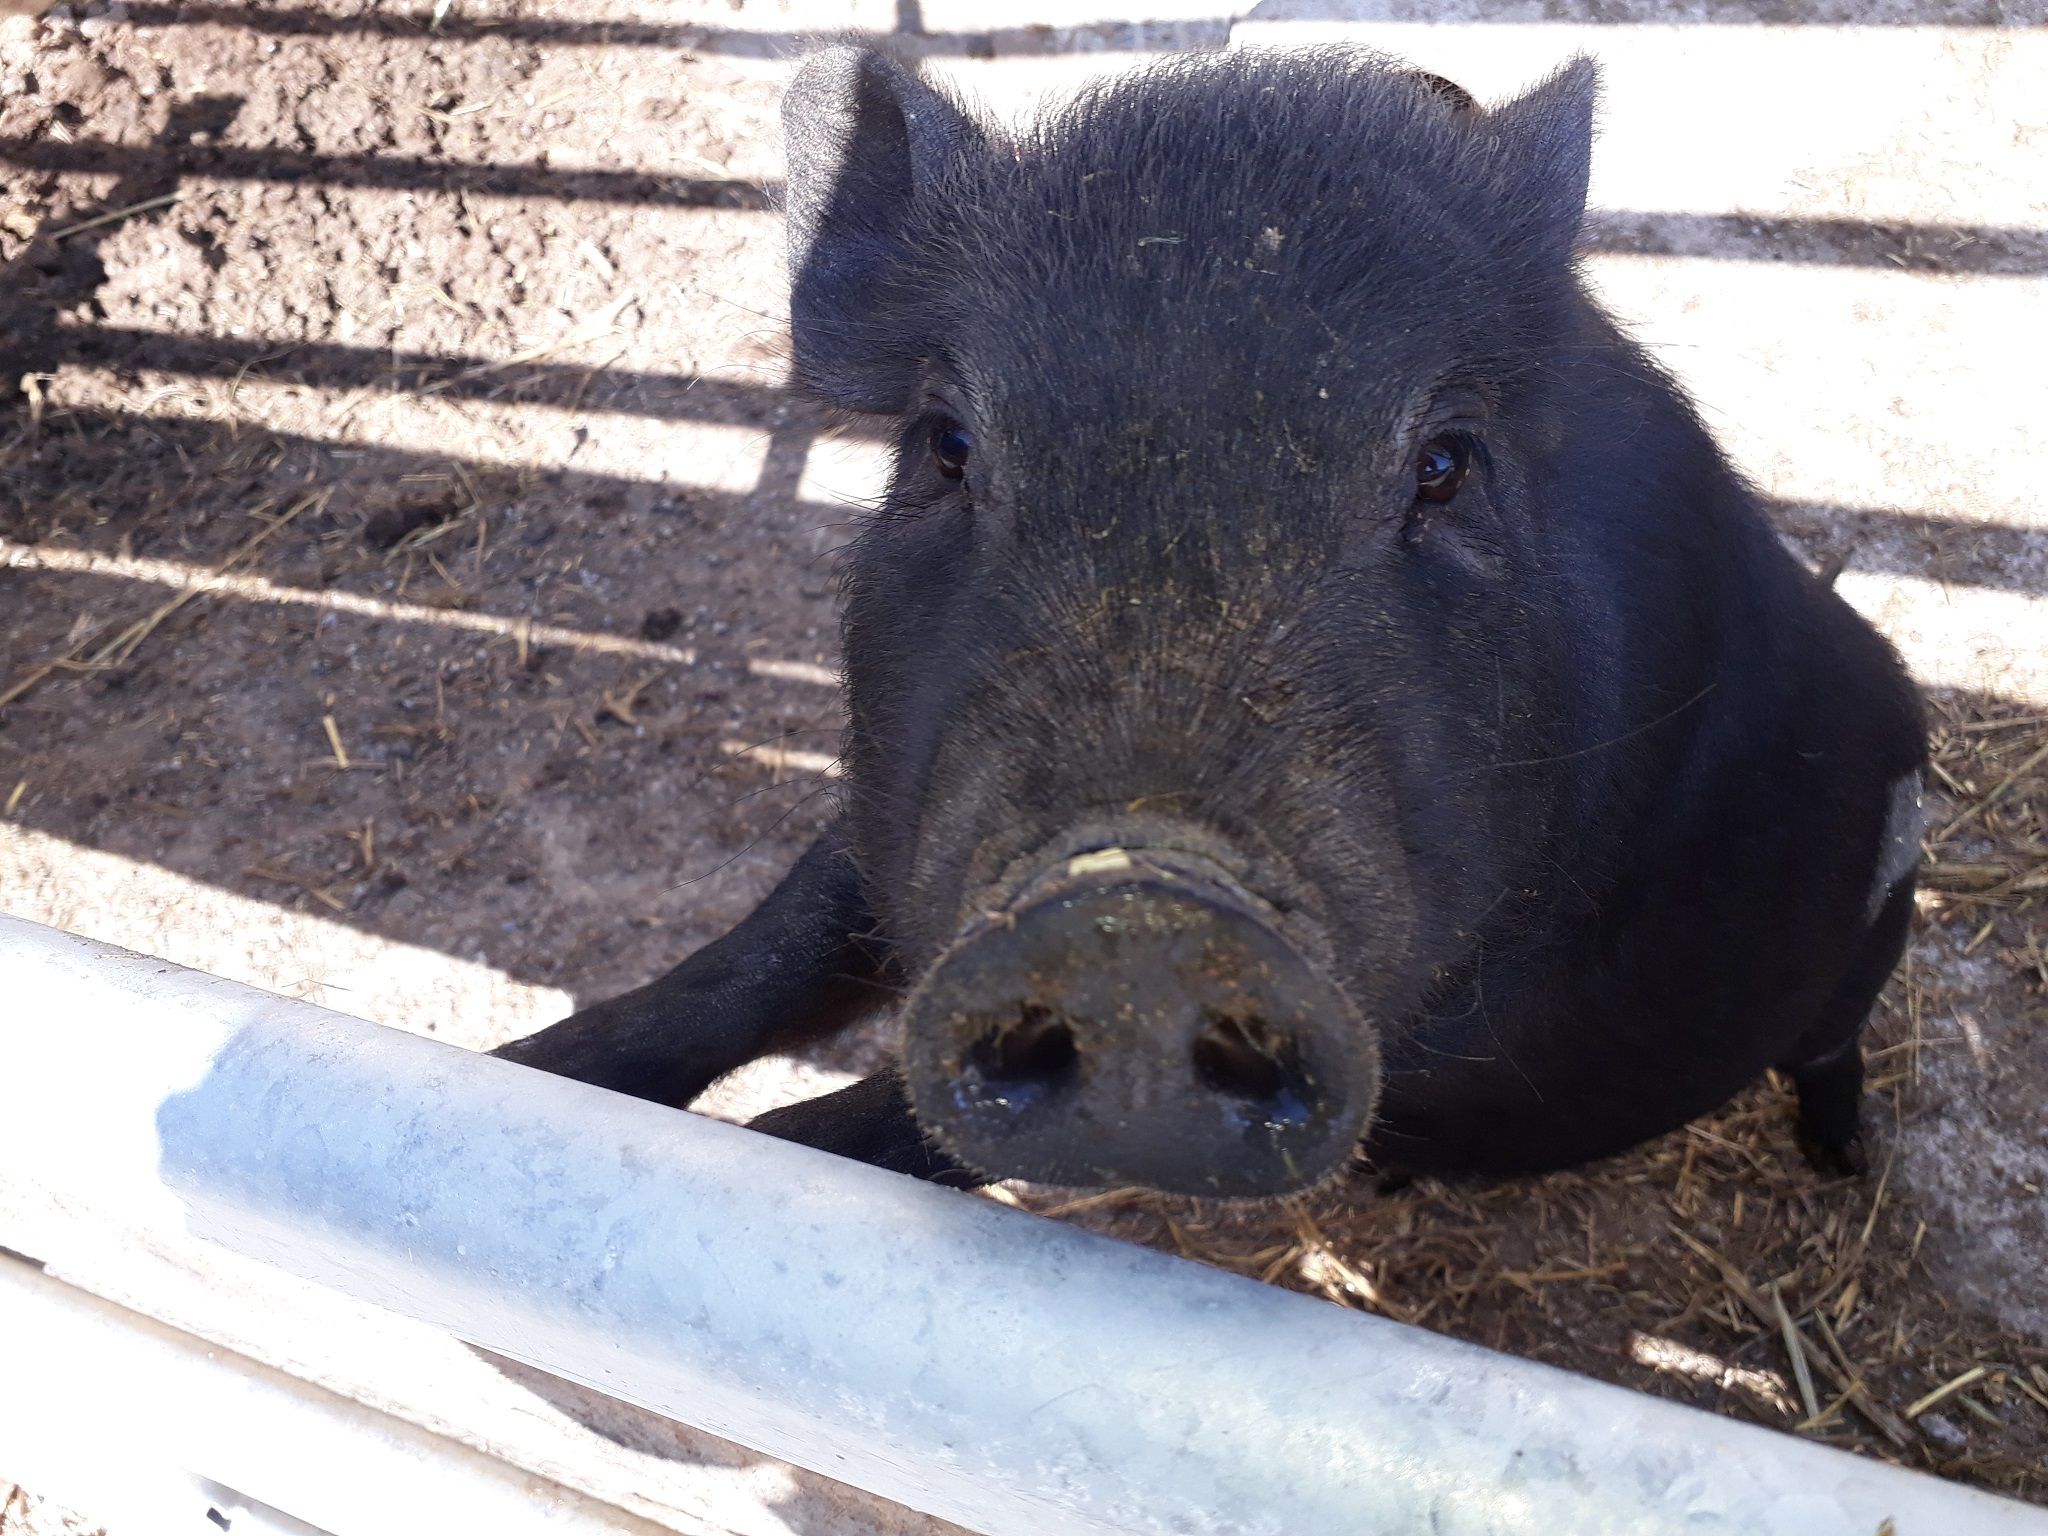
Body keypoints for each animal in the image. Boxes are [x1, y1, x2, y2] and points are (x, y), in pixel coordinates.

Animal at [494, 46, 1928, 1199]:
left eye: (1445, 465)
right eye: (945, 446)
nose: (1139, 905)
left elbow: (860, 1126)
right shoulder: (888, 804)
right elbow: (761, 951)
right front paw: (519, 1069)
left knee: (1831, 1051)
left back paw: (1842, 1164)